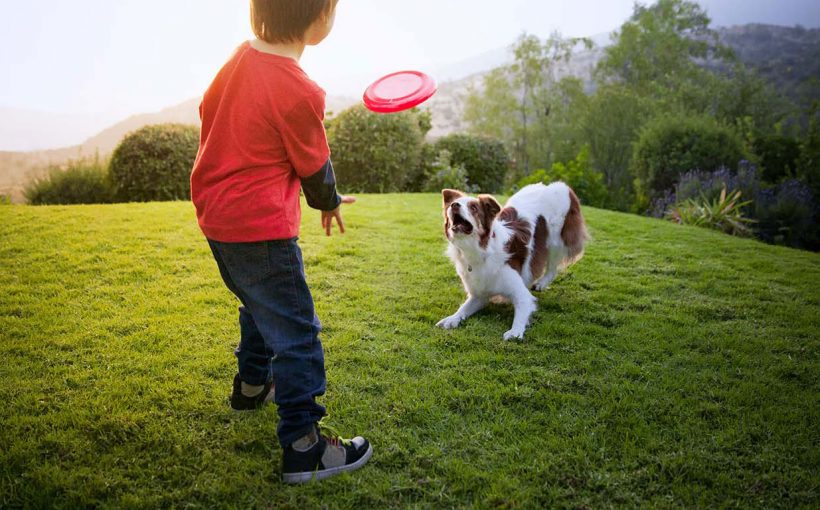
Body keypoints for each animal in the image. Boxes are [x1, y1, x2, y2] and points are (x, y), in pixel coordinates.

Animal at [436, 181, 588, 340]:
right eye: (452, 203)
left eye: (473, 207)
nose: (454, 205)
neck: (481, 251)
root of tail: (558, 185)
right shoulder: (479, 295)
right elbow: (463, 308)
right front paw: (452, 318)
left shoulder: (522, 295)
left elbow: (521, 311)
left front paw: (515, 331)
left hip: (556, 242)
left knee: (552, 268)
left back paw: (541, 283)